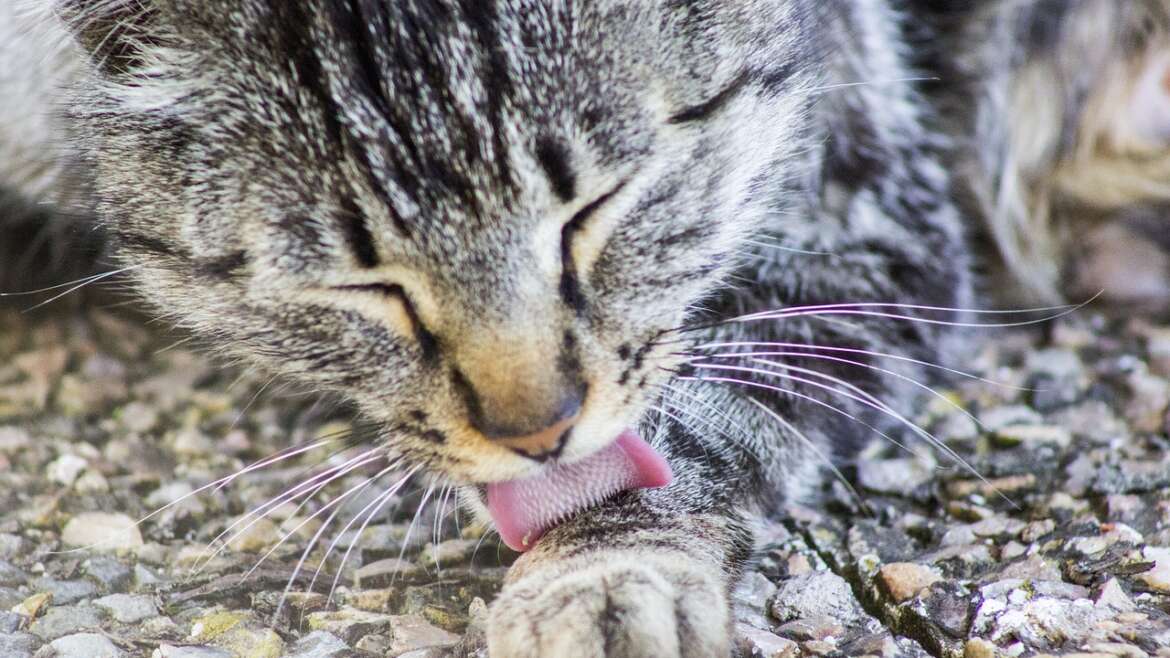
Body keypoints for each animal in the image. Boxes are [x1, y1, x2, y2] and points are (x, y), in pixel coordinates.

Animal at [2, 1, 1160, 655]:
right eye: (362, 282)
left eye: (596, 208)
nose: (537, 429)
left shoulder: (863, 225)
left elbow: (692, 426)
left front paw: (607, 572)